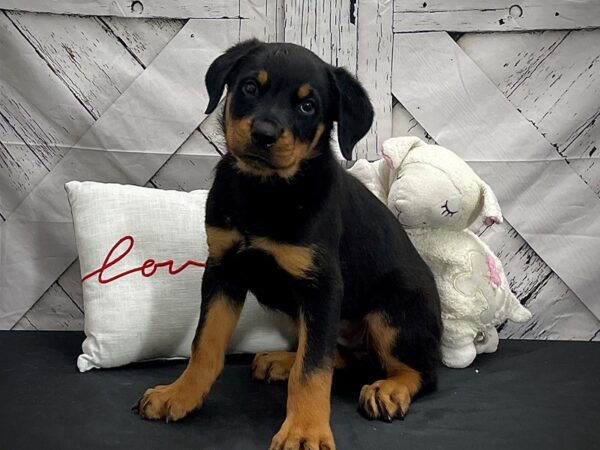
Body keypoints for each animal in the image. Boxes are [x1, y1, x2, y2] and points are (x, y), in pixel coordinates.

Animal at [136, 39, 440, 450]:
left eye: (308, 106)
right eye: (250, 87)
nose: (264, 134)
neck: (266, 192)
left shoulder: (322, 287)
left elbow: (312, 370)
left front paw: (304, 431)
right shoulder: (223, 270)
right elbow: (205, 344)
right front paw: (179, 394)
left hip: (392, 307)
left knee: (419, 371)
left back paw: (388, 389)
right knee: (340, 355)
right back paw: (280, 361)